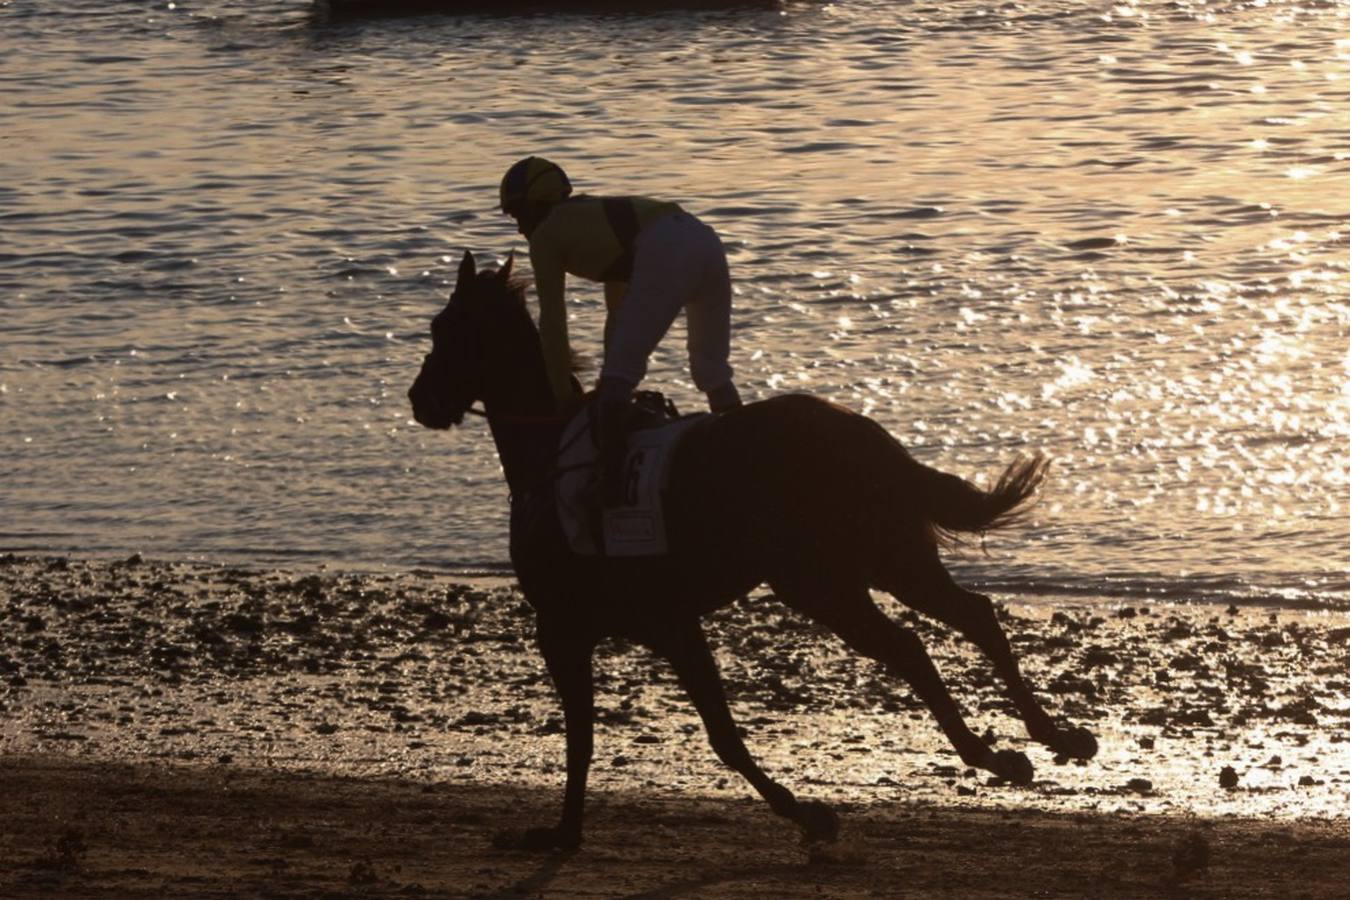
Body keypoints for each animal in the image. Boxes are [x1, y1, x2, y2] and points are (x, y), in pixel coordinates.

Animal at [407, 252, 1096, 852]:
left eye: (443, 329)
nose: (420, 399)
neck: (548, 457)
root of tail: (867, 435)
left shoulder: (577, 627)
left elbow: (631, 736)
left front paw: (563, 832)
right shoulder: (663, 624)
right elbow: (706, 732)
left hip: (820, 581)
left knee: (910, 645)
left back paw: (992, 752)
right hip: (891, 558)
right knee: (973, 617)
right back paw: (1050, 737)